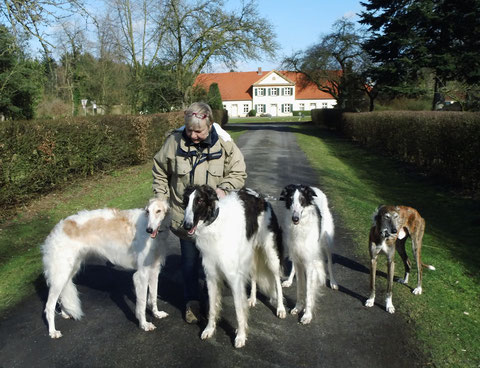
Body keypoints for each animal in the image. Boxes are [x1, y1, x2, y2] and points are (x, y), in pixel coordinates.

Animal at [41, 198, 169, 340]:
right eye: (147, 212)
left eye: (158, 211)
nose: (149, 229)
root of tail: (55, 231)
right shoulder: (141, 275)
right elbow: (141, 304)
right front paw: (144, 324)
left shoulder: (154, 270)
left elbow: (153, 297)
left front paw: (157, 313)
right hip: (61, 275)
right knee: (49, 306)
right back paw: (53, 332)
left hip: (68, 271)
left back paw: (65, 313)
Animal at [180, 185, 284, 350]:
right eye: (185, 201)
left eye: (200, 200)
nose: (186, 225)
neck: (214, 226)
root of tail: (261, 198)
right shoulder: (211, 276)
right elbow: (212, 308)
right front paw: (209, 329)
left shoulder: (233, 278)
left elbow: (238, 309)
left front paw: (240, 336)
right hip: (250, 253)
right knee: (254, 275)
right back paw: (252, 298)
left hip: (270, 253)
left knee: (277, 280)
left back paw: (281, 308)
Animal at [278, 185, 338, 324]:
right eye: (290, 199)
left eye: (302, 200)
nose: (295, 218)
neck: (300, 227)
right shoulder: (299, 258)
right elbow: (300, 288)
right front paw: (298, 307)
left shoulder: (310, 264)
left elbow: (308, 291)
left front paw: (307, 314)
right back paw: (289, 281)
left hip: (326, 243)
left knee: (330, 263)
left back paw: (333, 282)